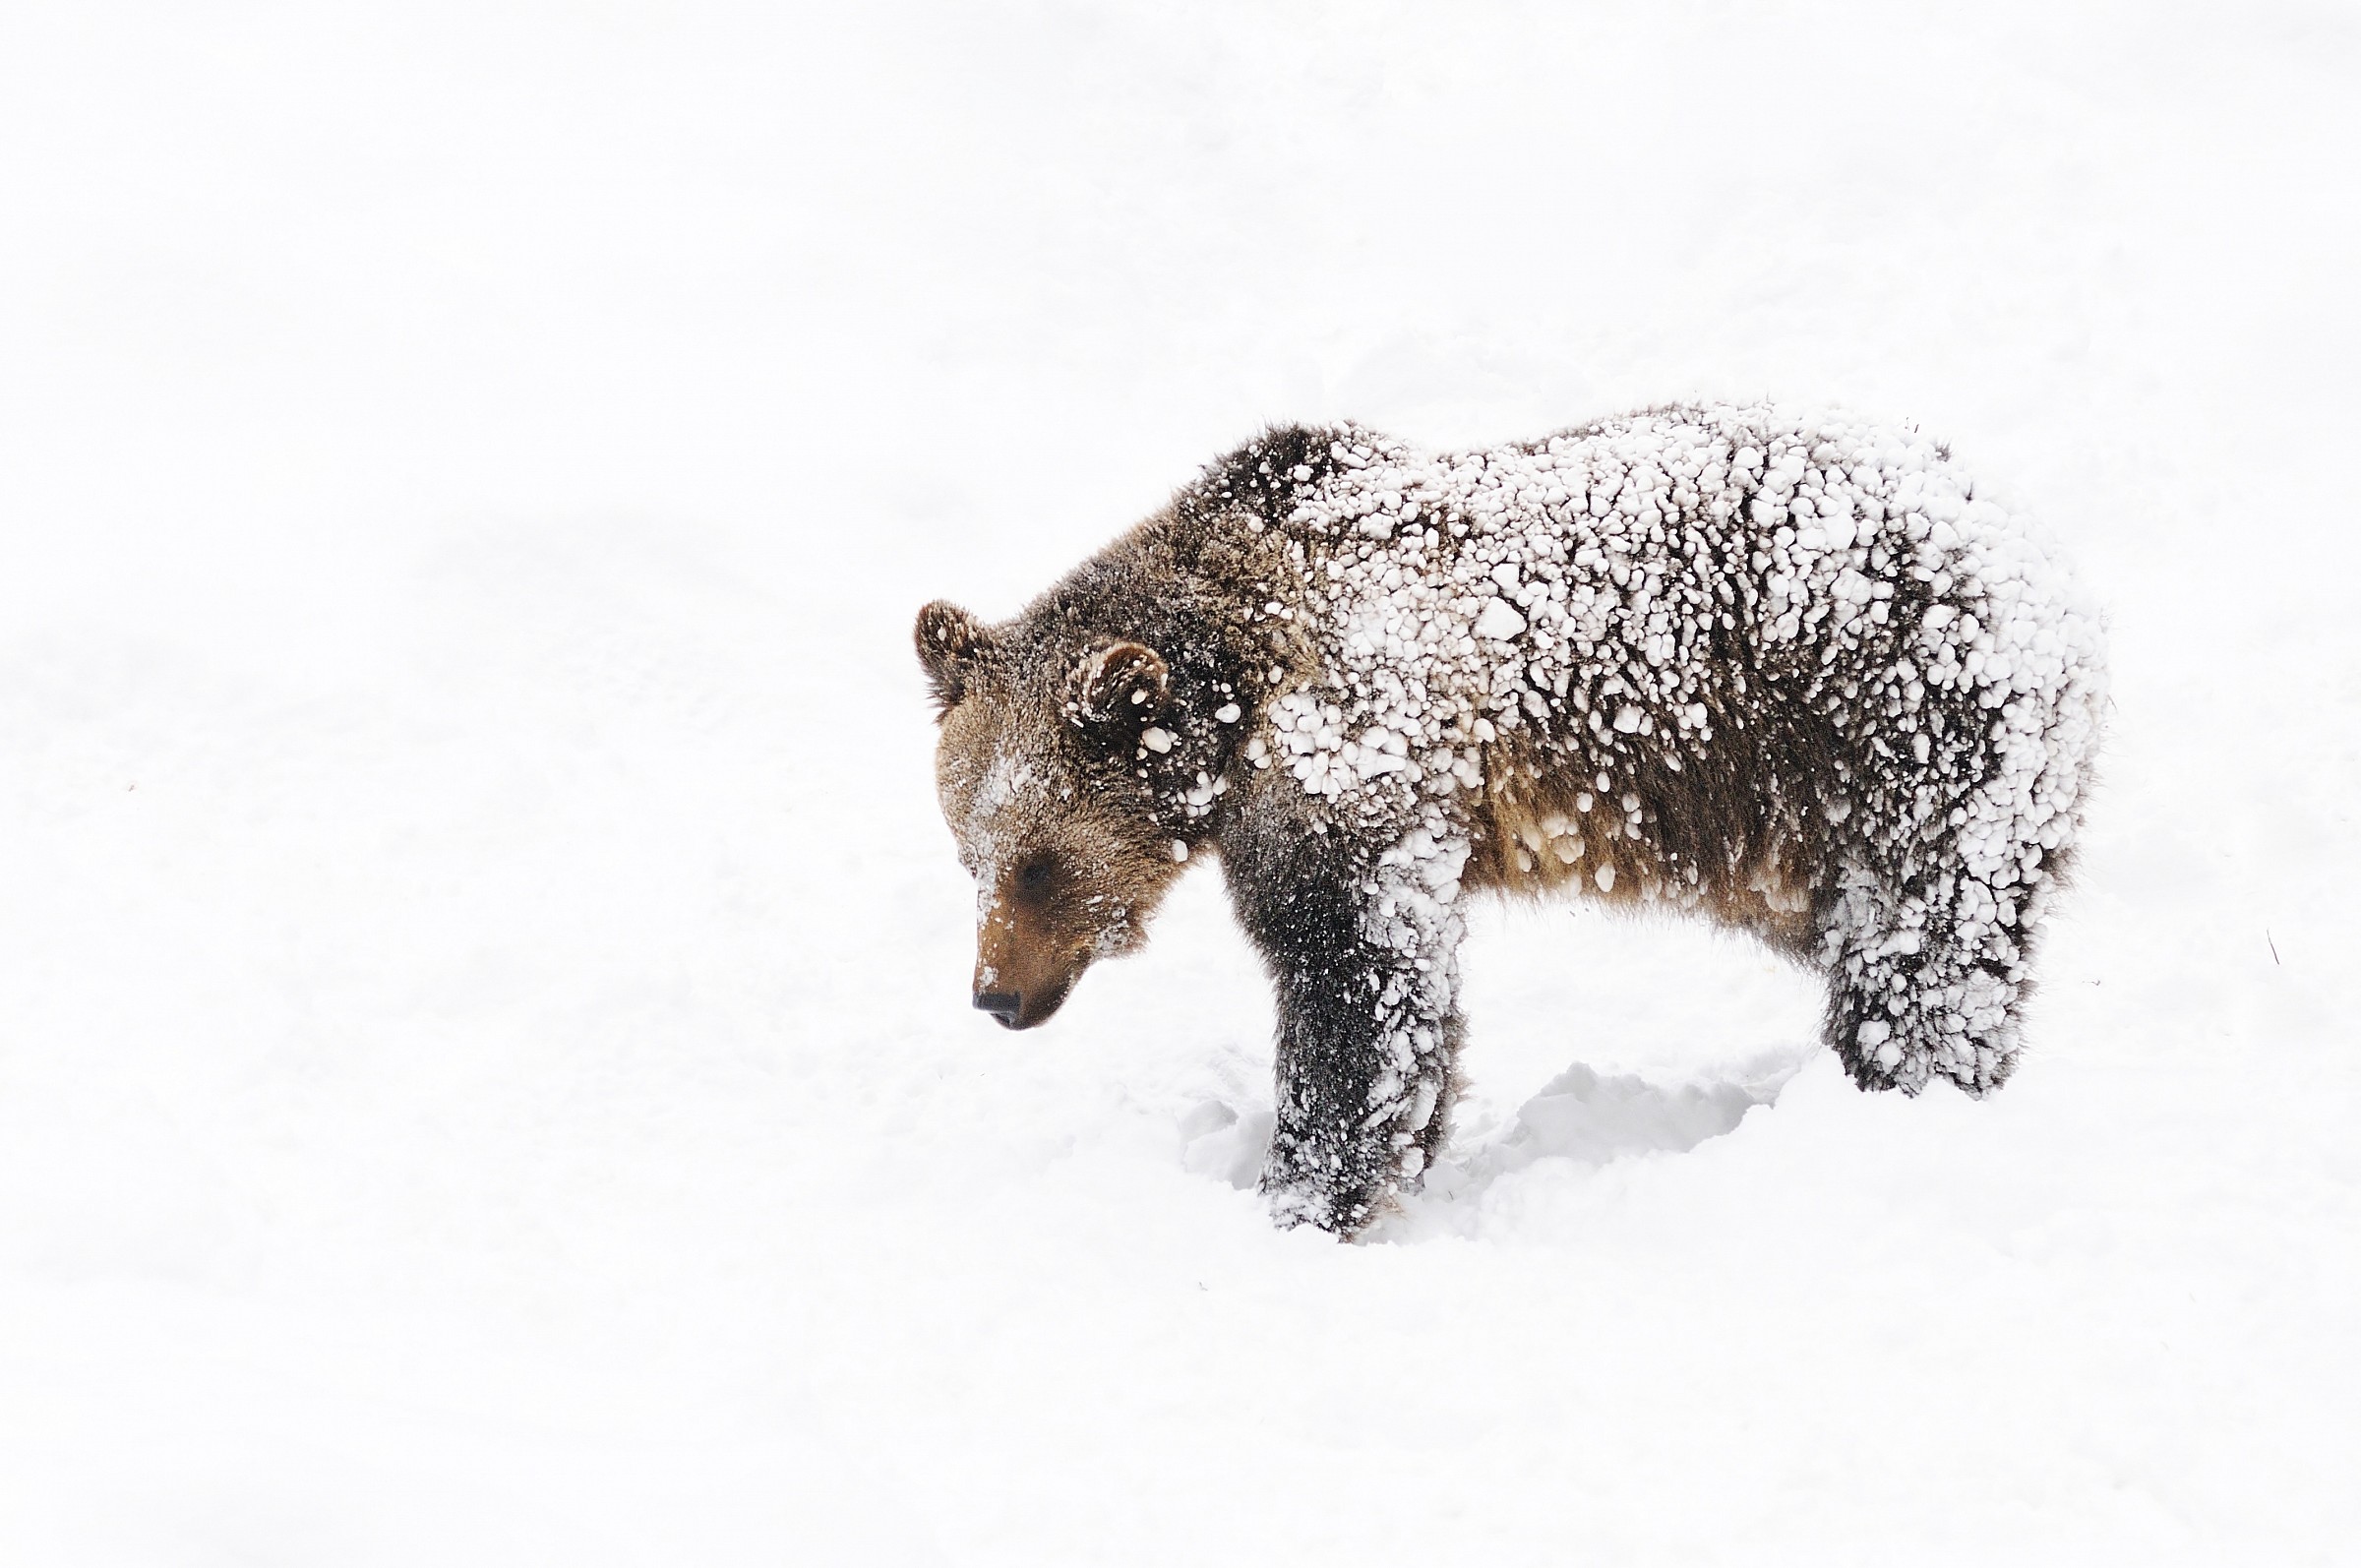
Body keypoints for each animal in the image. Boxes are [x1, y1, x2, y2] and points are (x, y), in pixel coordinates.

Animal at [916, 403, 2107, 1236]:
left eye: (1041, 863)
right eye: (970, 853)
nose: (994, 995)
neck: (1235, 687)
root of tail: (2025, 545)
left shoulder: (1358, 769)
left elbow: (1358, 991)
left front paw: (1308, 1192)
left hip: (1896, 737)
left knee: (1922, 953)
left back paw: (1907, 1091)